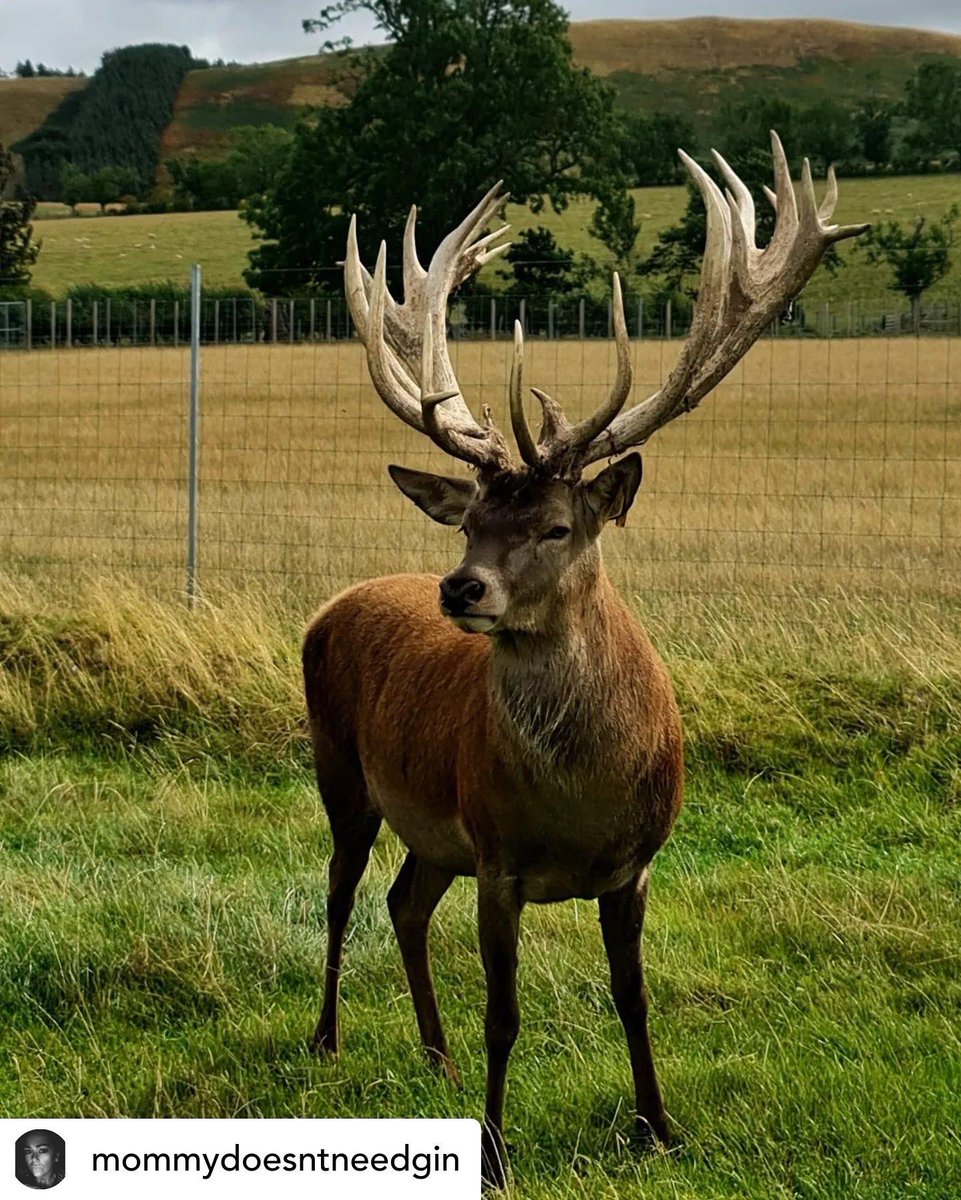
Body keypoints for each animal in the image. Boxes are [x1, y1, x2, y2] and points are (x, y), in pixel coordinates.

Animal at [302, 133, 867, 1188]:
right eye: (472, 521)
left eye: (557, 526)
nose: (460, 589)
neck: (575, 803)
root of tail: (330, 604)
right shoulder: (497, 856)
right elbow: (505, 1014)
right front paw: (492, 1153)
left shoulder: (633, 864)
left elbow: (633, 998)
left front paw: (659, 1125)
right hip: (342, 774)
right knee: (340, 895)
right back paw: (327, 1040)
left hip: (431, 832)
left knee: (403, 902)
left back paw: (433, 1056)